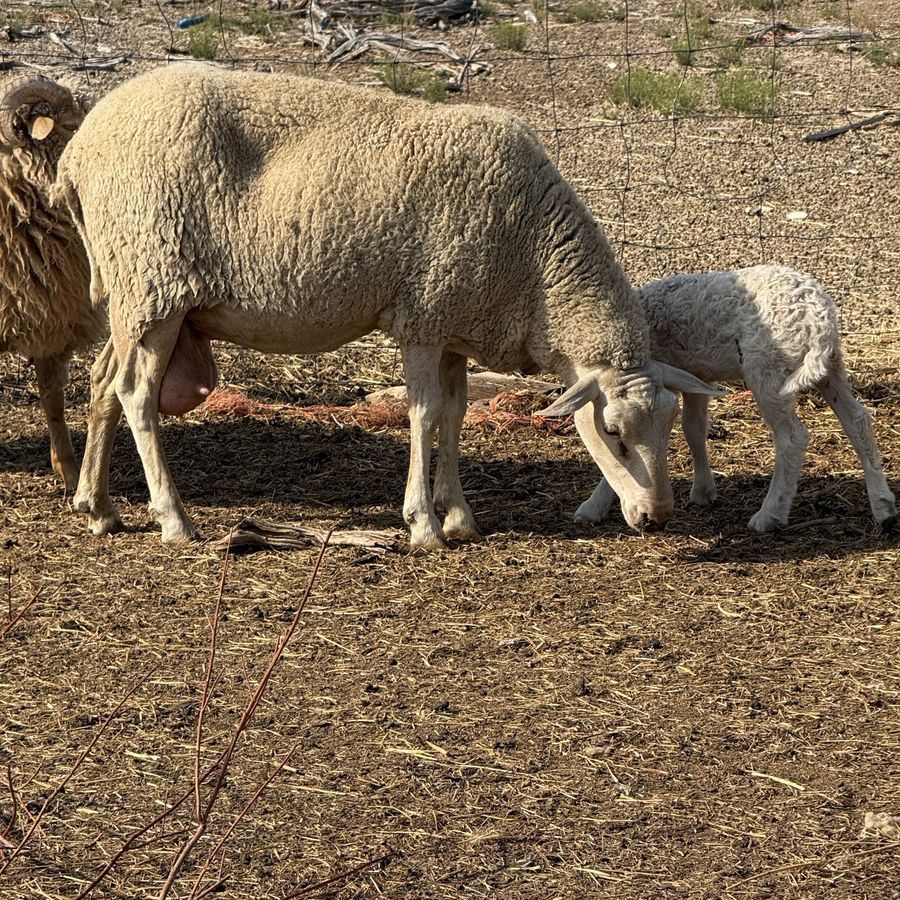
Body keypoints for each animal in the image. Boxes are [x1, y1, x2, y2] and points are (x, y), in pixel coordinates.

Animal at [48, 64, 719, 547]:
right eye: (613, 433)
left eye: (667, 425)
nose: (657, 518)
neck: (532, 258)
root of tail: (78, 151)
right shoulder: (421, 318)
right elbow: (423, 416)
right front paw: (423, 524)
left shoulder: (454, 321)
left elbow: (454, 415)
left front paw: (460, 514)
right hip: (155, 280)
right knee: (137, 395)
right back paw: (173, 518)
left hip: (134, 292)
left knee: (104, 382)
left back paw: (98, 507)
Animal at [575, 265, 897, 532]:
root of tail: (818, 319)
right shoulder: (695, 376)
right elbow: (694, 429)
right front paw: (703, 491)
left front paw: (593, 506)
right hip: (831, 366)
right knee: (857, 419)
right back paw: (883, 505)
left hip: (769, 367)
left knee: (793, 437)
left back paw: (769, 515)